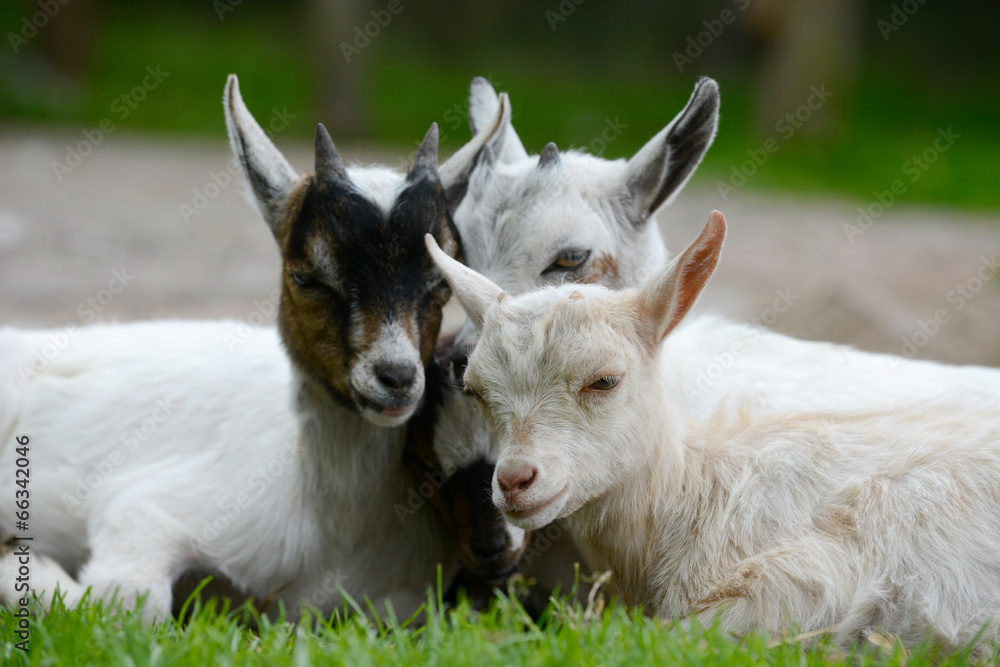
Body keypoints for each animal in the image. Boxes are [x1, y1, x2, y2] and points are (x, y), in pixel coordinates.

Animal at [0, 74, 506, 622]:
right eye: (308, 276)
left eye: (440, 282)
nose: (396, 378)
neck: (330, 537)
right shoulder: (143, 510)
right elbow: (134, 600)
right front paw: (21, 571)